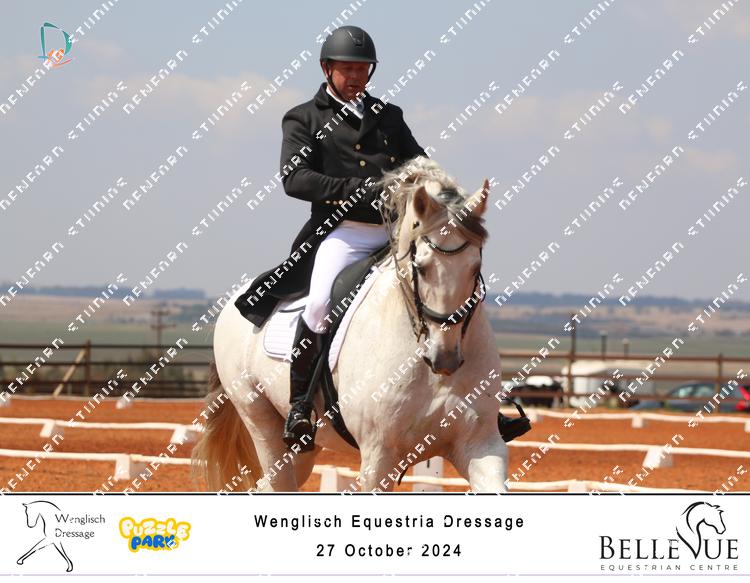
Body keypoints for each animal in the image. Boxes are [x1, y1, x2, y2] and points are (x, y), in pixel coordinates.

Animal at [192, 156, 509, 492]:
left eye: (476, 266)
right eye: (421, 267)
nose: (445, 358)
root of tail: (232, 302)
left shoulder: (481, 444)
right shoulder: (379, 457)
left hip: (303, 449)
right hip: (261, 420)